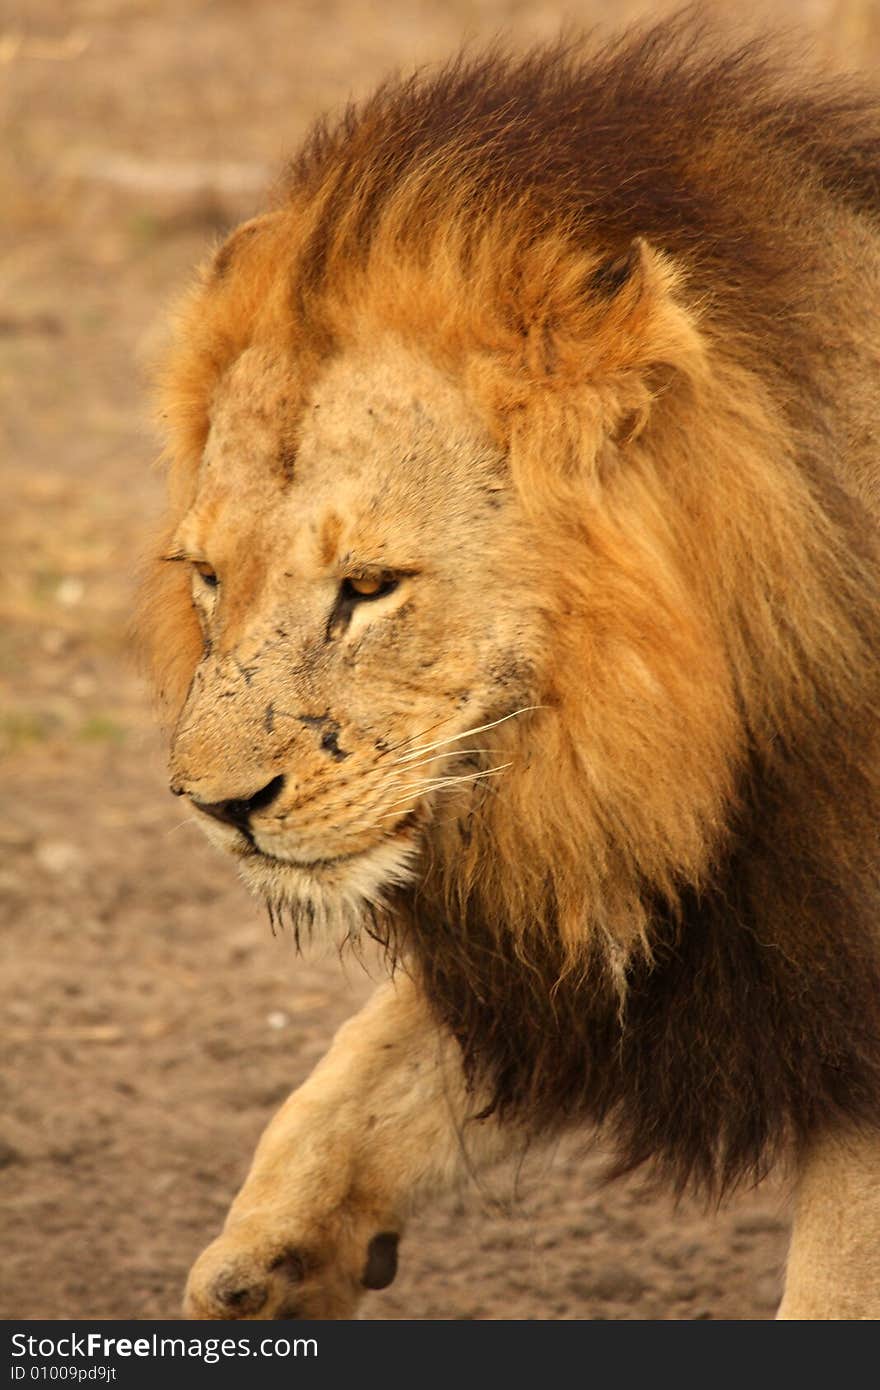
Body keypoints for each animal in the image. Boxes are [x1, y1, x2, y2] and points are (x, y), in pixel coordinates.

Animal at [139, 24, 878, 1323]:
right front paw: (275, 1252)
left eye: (370, 584)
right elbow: (374, 1060)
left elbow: (836, 1278)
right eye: (211, 578)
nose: (220, 810)